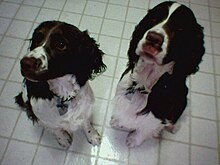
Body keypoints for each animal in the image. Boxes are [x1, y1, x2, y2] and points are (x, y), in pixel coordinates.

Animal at [15, 20, 106, 148]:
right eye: (36, 38)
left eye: (61, 44)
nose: (24, 63)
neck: (64, 96)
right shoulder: (45, 117)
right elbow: (56, 129)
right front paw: (63, 139)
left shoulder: (85, 109)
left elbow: (86, 123)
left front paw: (92, 135)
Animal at [110, 1, 205, 148]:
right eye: (153, 19)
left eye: (180, 29)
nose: (153, 38)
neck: (144, 83)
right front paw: (117, 121)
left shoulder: (155, 116)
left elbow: (144, 130)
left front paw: (133, 140)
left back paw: (172, 127)